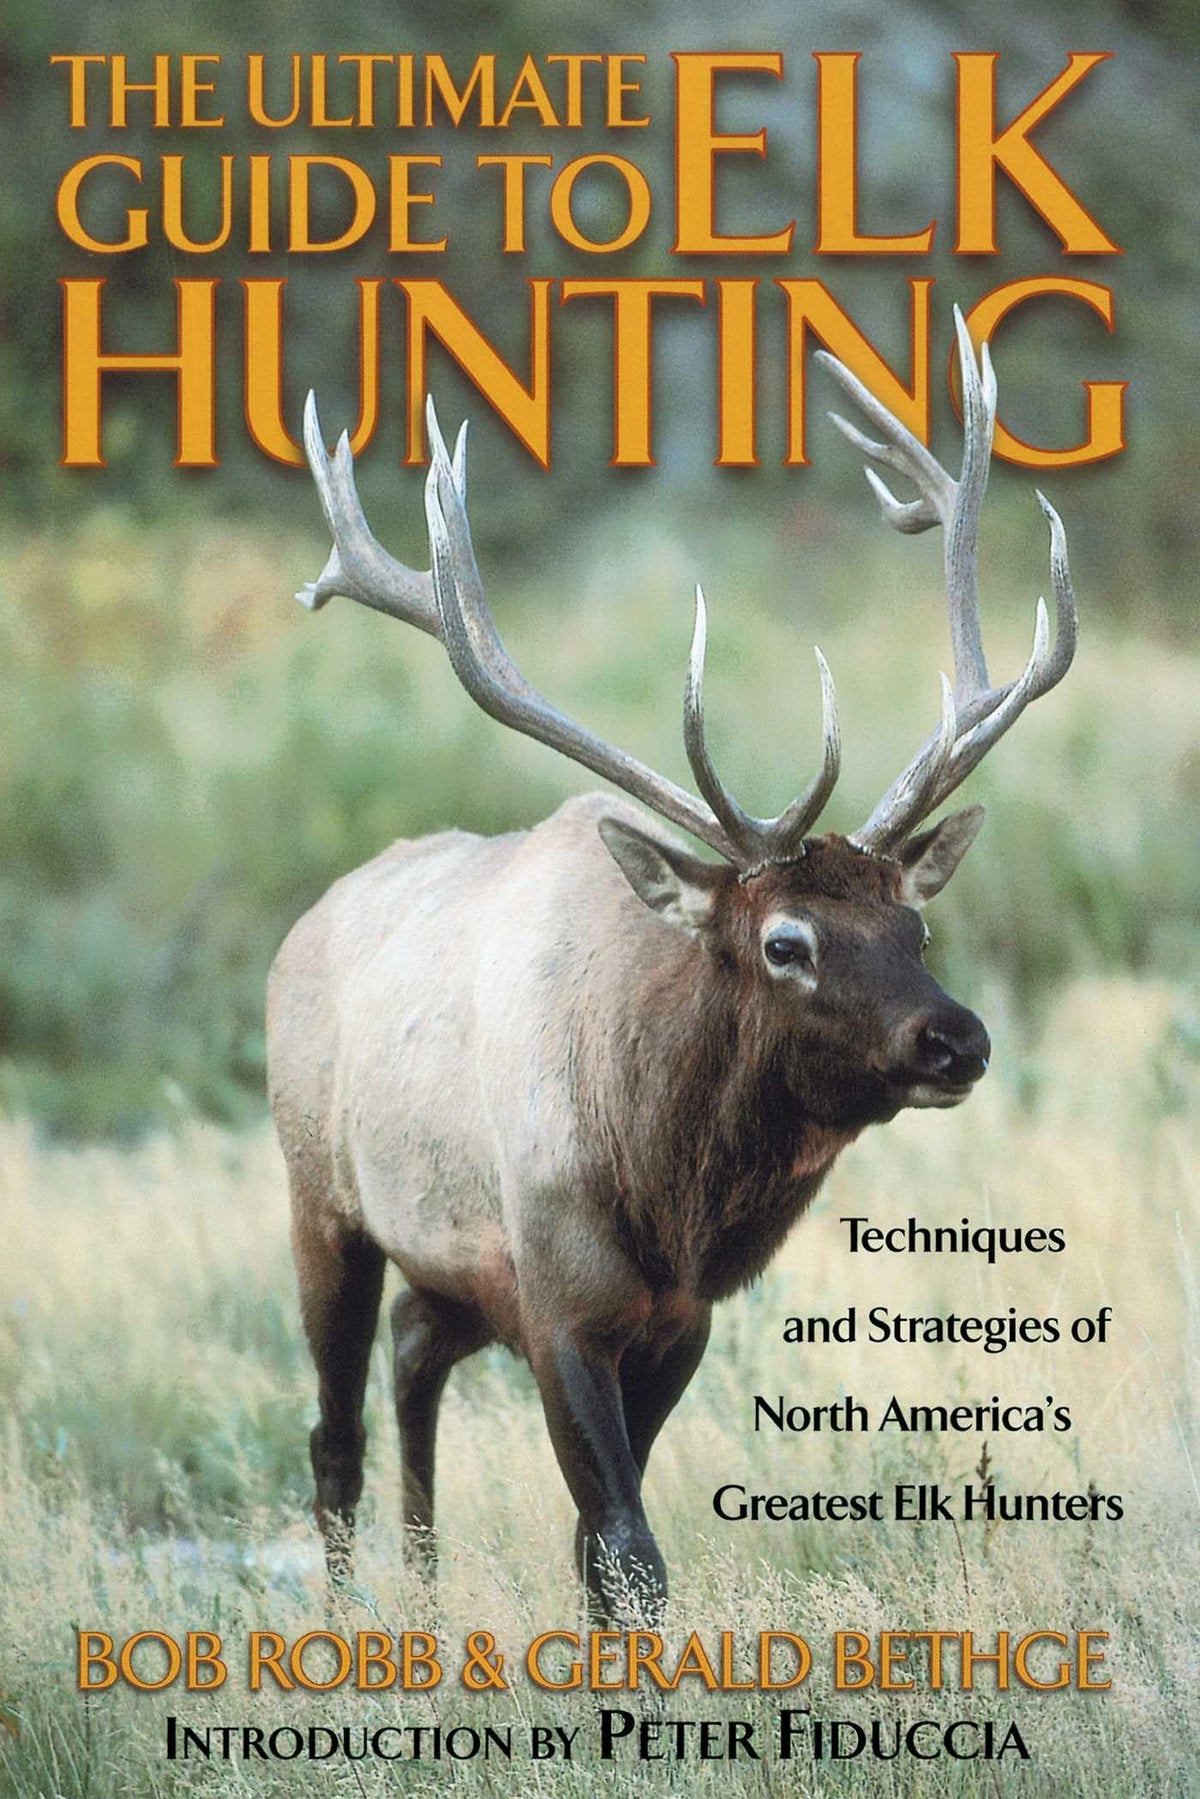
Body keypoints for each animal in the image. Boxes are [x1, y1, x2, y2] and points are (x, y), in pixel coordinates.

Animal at [267, 310, 1076, 1620]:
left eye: (916, 928)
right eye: (786, 940)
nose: (958, 1038)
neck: (666, 1192)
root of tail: (304, 923)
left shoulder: (678, 1320)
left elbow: (598, 1550)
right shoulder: (558, 1298)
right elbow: (630, 1548)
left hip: (445, 1267)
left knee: (411, 1357)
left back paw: (427, 1594)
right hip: (319, 1197)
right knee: (333, 1431)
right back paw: (350, 1616)